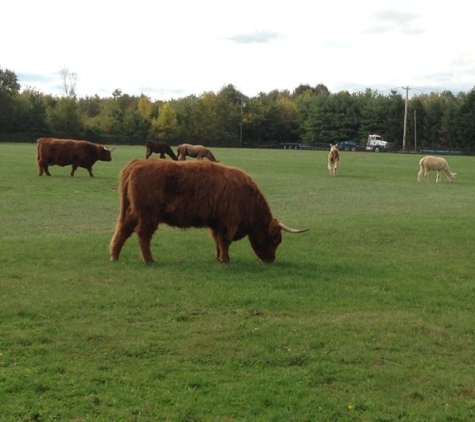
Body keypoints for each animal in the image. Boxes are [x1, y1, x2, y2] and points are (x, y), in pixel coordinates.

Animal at [109, 159, 308, 264]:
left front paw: (219, 258)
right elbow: (225, 241)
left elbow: (218, 241)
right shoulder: (228, 222)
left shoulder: (217, 223)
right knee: (142, 235)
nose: (271, 259)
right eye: (275, 239)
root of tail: (136, 164)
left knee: (122, 229)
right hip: (148, 215)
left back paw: (114, 256)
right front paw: (226, 261)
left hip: (132, 213)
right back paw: (149, 259)